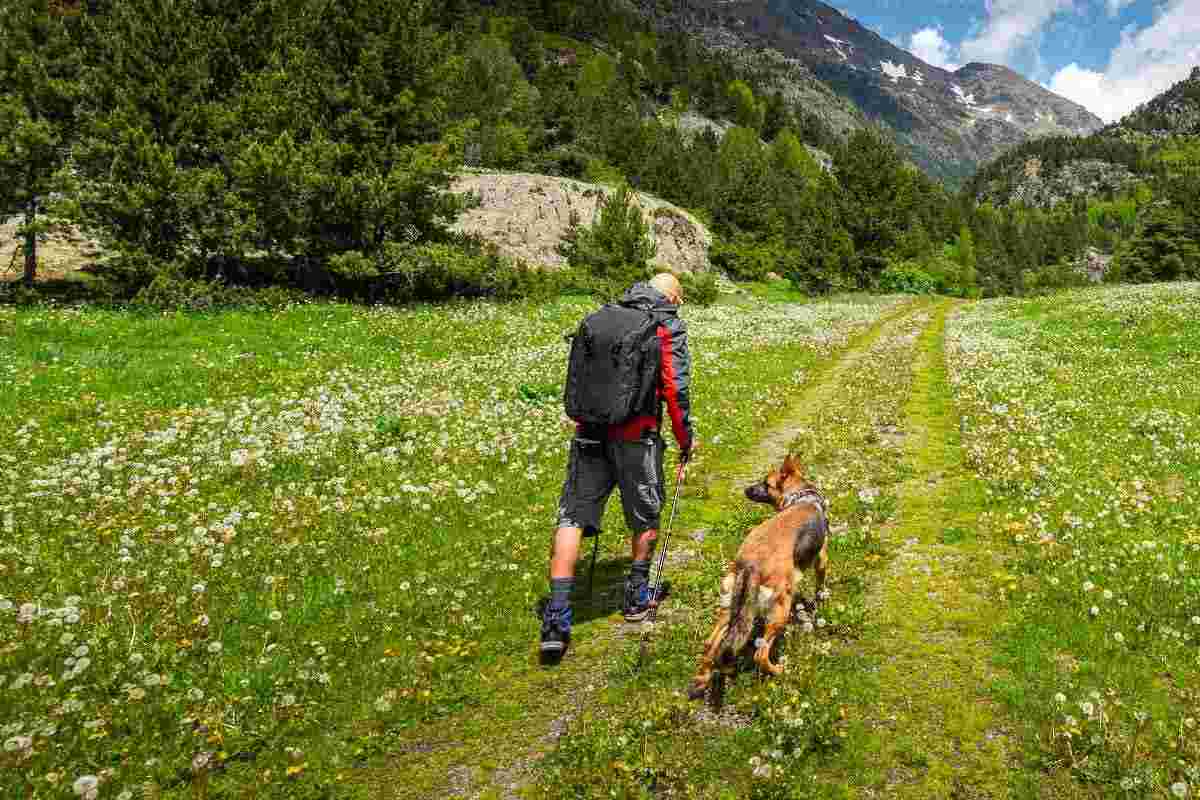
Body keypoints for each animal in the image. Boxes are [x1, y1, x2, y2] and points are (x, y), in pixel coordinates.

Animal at [691, 455, 830, 700]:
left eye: (766, 483)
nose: (746, 489)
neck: (801, 496)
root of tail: (751, 565)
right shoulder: (822, 558)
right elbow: (820, 585)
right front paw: (820, 599)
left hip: (730, 608)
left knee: (710, 644)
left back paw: (702, 679)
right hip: (780, 610)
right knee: (761, 654)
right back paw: (779, 670)